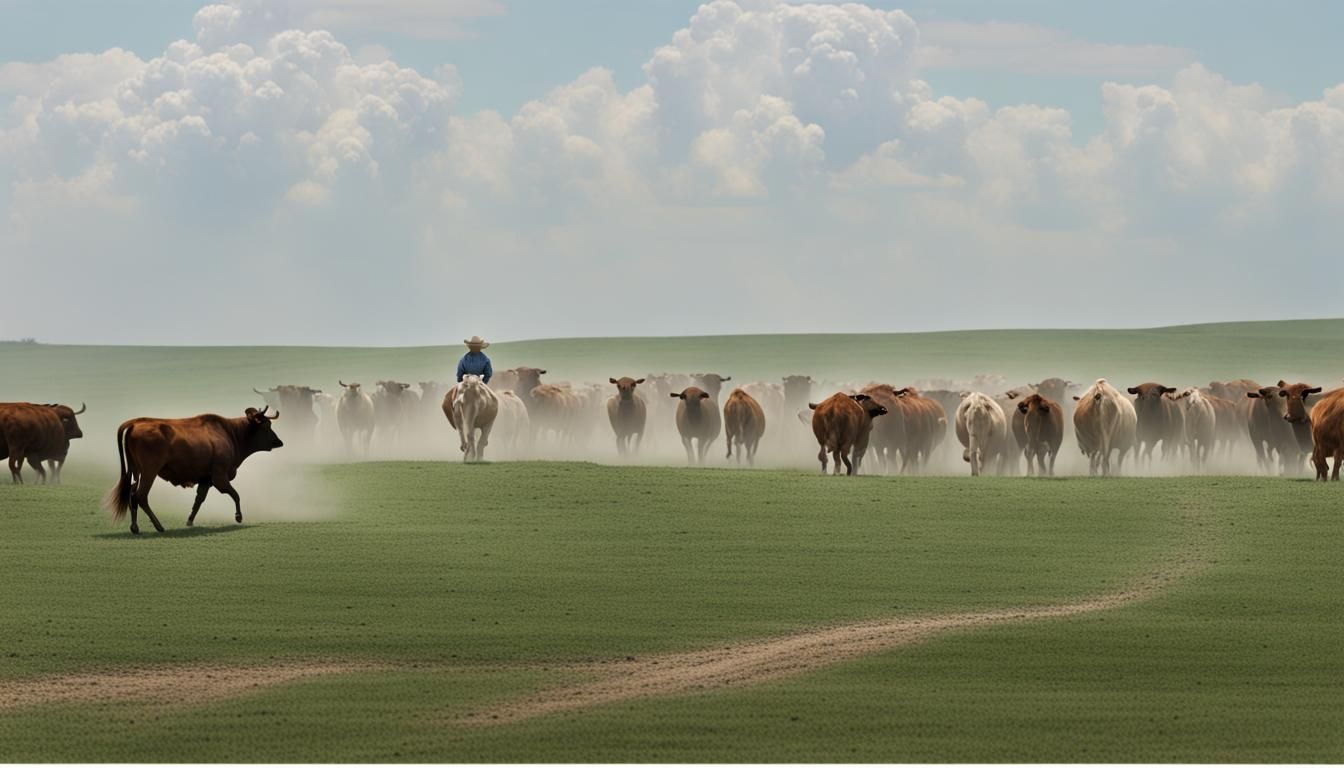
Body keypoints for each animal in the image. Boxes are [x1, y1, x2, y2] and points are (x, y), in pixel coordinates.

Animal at [104, 406, 283, 534]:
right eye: (266, 426)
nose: (279, 442)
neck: (230, 433)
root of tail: (135, 423)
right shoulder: (219, 476)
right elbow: (235, 494)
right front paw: (238, 517)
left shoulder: (206, 479)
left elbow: (199, 500)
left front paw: (189, 520)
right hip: (150, 472)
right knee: (140, 496)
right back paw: (159, 527)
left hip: (136, 472)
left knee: (132, 493)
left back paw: (135, 527)